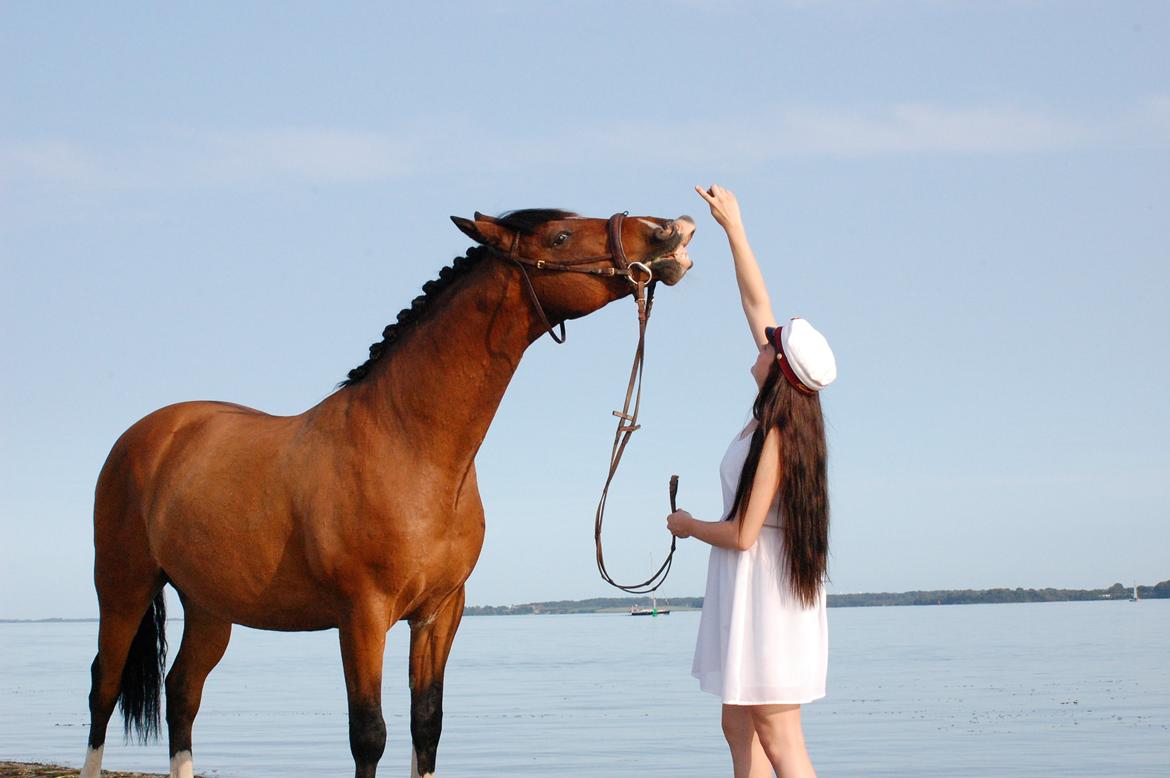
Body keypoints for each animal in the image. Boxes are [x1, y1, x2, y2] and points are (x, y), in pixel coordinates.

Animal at [82, 208, 692, 776]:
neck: (409, 447)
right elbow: (368, 733)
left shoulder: (440, 613)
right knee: (103, 686)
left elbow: (427, 724)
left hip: (210, 606)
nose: (669, 231)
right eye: (560, 237)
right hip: (123, 587)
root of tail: (150, 433)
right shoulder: (363, 615)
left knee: (182, 691)